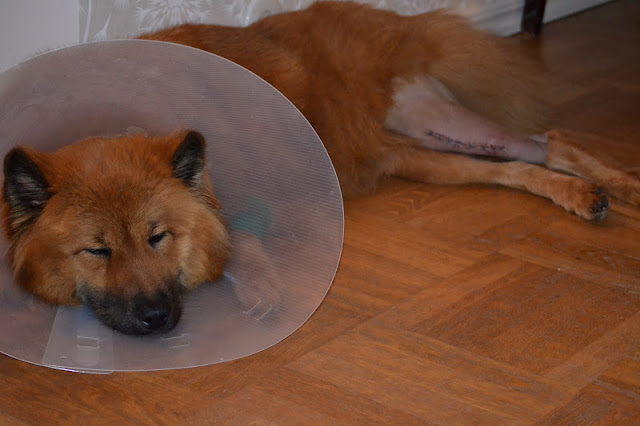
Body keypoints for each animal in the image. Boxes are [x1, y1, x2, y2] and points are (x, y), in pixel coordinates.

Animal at [3, 1, 639, 335]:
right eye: (97, 250)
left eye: (157, 238)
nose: (157, 317)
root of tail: (401, 21)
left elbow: (240, 238)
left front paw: (259, 282)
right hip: (427, 151)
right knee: (532, 155)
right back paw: (590, 194)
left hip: (435, 125)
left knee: (549, 139)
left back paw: (620, 183)